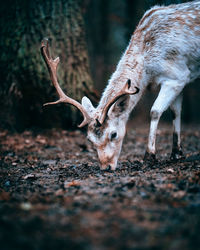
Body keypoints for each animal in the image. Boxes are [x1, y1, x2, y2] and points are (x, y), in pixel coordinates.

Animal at [41, 0, 200, 170]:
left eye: (114, 134)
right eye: (89, 139)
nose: (106, 167)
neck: (148, 70)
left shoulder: (178, 75)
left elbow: (155, 111)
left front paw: (149, 156)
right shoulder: (180, 80)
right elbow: (176, 112)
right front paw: (176, 154)